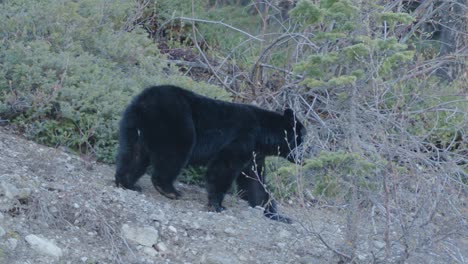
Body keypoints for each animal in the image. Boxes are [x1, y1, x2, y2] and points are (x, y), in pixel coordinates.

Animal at [114, 85, 306, 223]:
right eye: (301, 140)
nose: (303, 159)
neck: (262, 134)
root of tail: (145, 101)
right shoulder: (243, 138)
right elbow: (224, 166)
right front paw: (217, 205)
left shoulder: (255, 154)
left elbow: (255, 181)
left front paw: (278, 215)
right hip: (176, 122)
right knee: (174, 154)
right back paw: (169, 190)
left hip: (134, 124)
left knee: (133, 153)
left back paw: (127, 183)